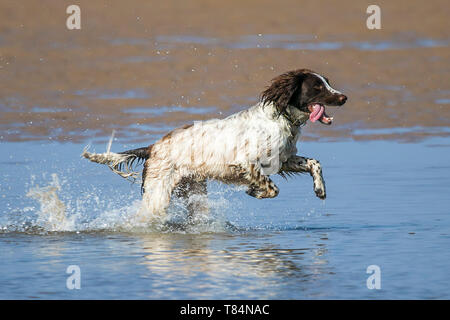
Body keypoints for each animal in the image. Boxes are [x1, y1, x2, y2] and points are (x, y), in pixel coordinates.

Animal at [81, 69, 348, 221]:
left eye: (327, 82)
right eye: (317, 87)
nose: (344, 97)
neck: (280, 118)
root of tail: (154, 147)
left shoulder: (281, 161)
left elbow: (314, 163)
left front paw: (320, 189)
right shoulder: (247, 162)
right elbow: (272, 188)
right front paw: (254, 191)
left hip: (194, 192)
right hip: (158, 195)